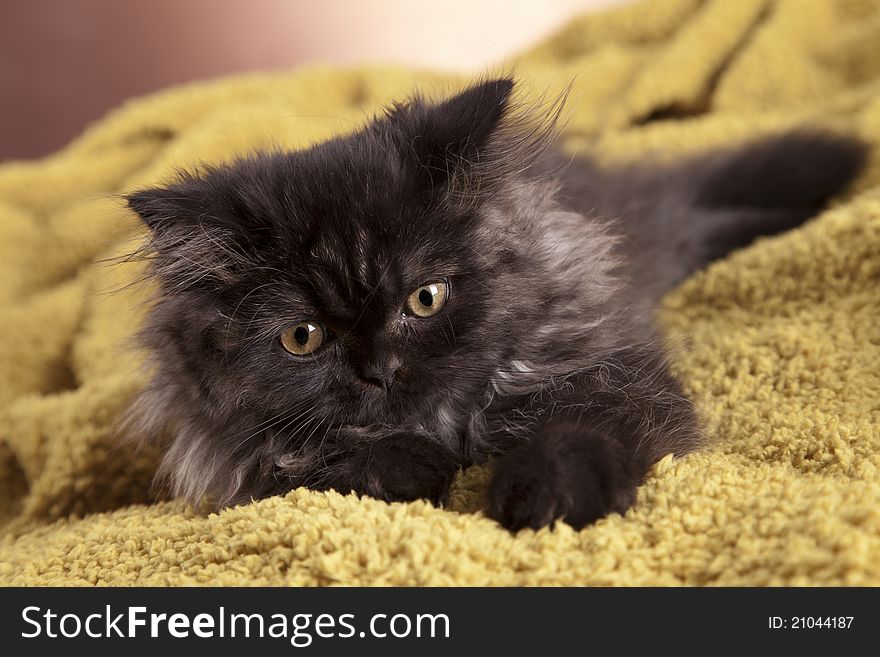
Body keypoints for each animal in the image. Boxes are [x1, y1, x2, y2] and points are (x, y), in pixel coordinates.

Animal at [125, 78, 868, 528]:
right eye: (302, 337)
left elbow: (576, 426)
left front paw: (550, 495)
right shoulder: (235, 460)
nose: (379, 371)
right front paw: (414, 466)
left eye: (425, 298)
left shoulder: (611, 367)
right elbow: (320, 459)